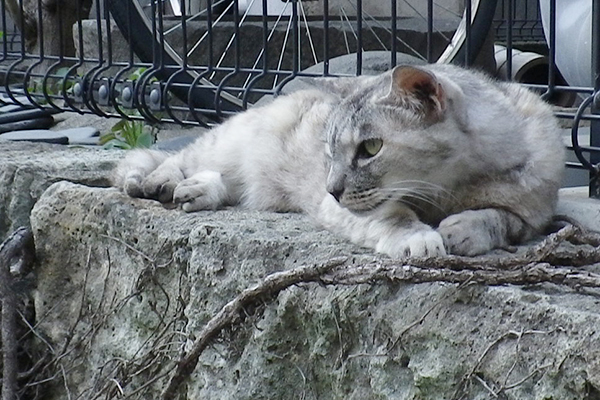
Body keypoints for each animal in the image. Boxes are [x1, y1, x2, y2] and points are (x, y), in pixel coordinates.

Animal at [111, 62, 564, 256]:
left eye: (370, 149)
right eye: (330, 151)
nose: (331, 188)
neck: (450, 189)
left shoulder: (536, 213)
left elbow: (503, 219)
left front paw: (465, 229)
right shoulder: (362, 208)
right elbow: (393, 215)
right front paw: (420, 238)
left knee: (229, 185)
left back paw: (198, 191)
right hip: (228, 143)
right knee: (173, 156)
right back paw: (163, 182)